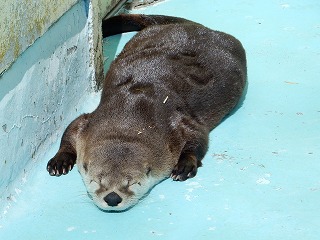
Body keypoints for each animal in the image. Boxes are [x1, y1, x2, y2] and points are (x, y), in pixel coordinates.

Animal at [47, 14, 248, 211]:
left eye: (131, 182)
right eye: (98, 181)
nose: (112, 198)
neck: (129, 116)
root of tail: (201, 28)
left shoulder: (174, 125)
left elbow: (198, 136)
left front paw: (184, 165)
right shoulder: (89, 122)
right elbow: (70, 130)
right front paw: (60, 161)